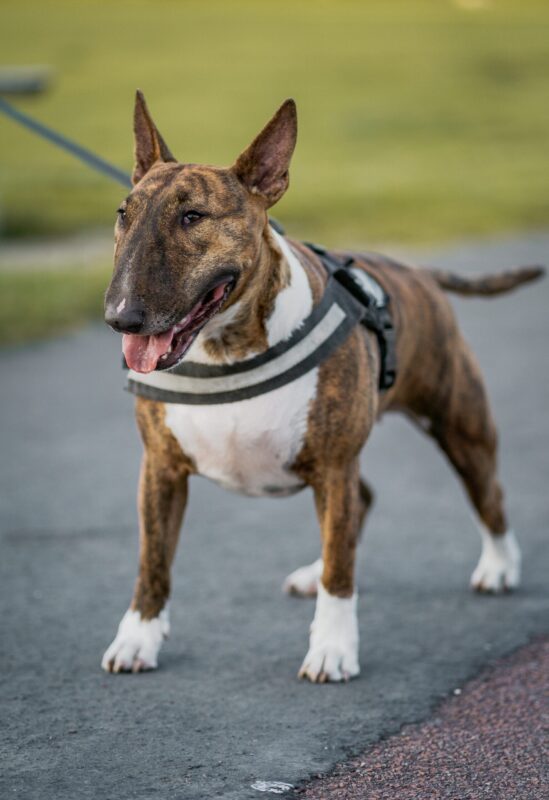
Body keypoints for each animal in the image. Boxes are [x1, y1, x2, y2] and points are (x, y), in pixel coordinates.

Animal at [103, 94, 544, 680]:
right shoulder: (161, 467)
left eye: (192, 216)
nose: (120, 317)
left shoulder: (334, 466)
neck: (227, 348)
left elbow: (342, 571)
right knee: (362, 503)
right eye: (123, 214)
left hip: (459, 424)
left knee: (485, 495)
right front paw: (138, 639)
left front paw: (332, 649)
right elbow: (152, 561)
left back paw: (499, 567)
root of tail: (418, 272)